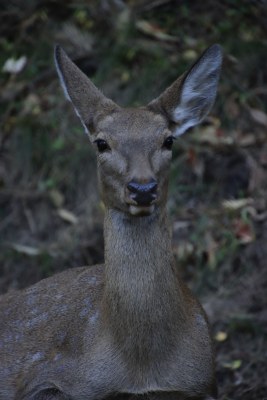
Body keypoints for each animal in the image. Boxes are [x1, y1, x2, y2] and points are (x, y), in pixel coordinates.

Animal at [0, 44, 222, 400]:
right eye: (102, 143)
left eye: (168, 140)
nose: (142, 188)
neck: (142, 370)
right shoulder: (50, 384)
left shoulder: (203, 382)